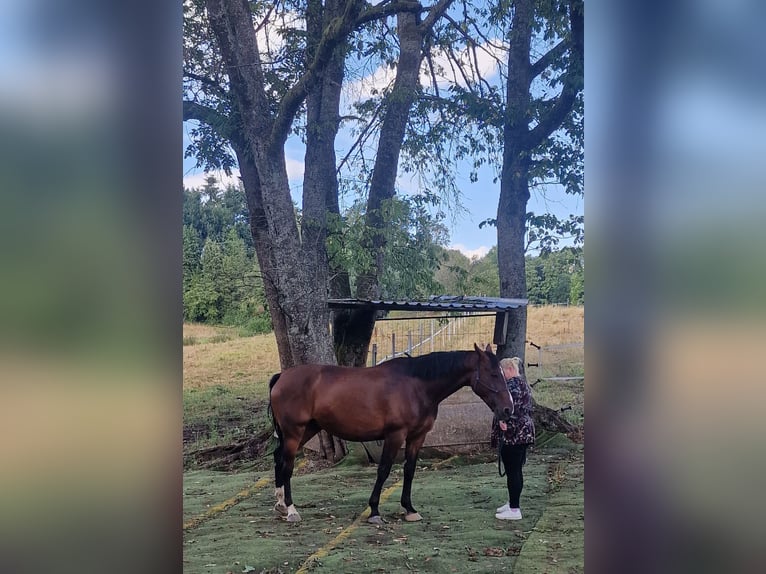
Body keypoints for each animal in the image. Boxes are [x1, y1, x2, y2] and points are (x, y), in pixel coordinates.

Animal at [267, 343, 514, 524]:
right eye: (493, 374)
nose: (508, 409)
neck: (416, 386)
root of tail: (282, 376)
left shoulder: (417, 437)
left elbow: (409, 470)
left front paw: (410, 509)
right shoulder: (395, 435)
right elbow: (384, 470)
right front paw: (375, 511)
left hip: (307, 430)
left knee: (279, 459)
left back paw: (280, 505)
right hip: (294, 432)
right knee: (287, 466)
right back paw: (291, 510)